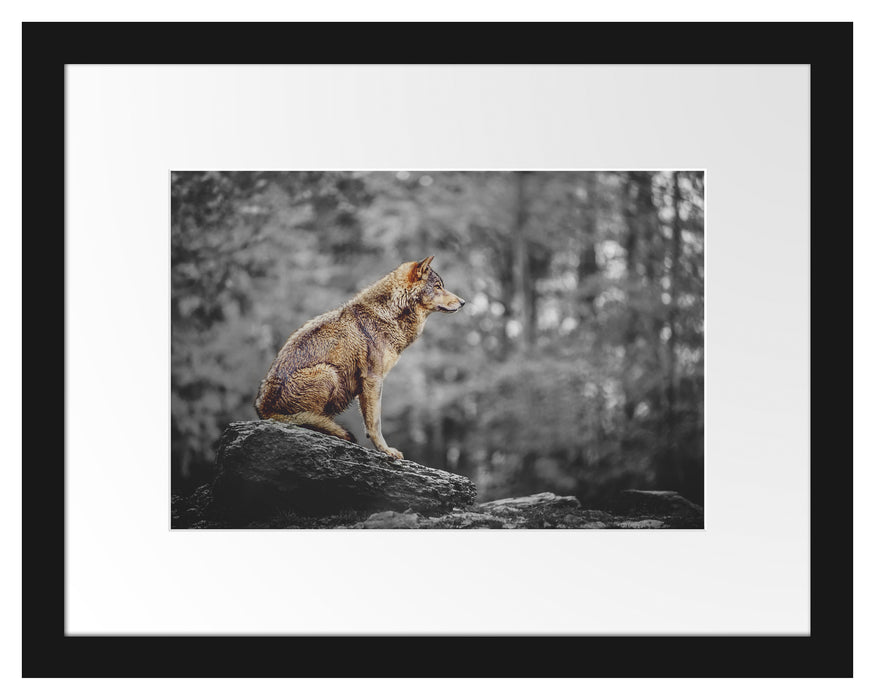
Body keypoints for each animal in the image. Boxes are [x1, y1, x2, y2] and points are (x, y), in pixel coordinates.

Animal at [254, 256, 465, 459]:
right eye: (437, 286)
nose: (463, 302)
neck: (388, 314)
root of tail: (262, 409)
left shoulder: (367, 385)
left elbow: (369, 421)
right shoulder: (373, 379)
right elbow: (375, 423)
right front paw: (386, 450)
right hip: (328, 372)